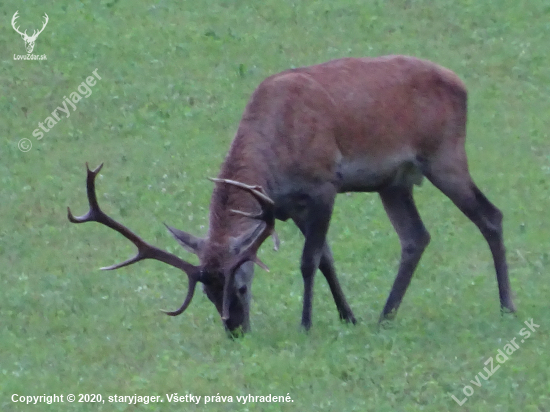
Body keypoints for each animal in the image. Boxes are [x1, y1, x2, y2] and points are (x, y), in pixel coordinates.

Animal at [68, 54, 516, 336]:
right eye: (208, 293)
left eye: (240, 287)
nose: (234, 331)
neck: (275, 159)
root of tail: (460, 83)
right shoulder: (288, 207)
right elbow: (328, 259)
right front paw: (349, 317)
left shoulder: (324, 185)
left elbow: (308, 260)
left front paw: (307, 324)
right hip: (394, 182)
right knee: (415, 237)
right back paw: (385, 317)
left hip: (445, 156)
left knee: (491, 215)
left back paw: (507, 306)